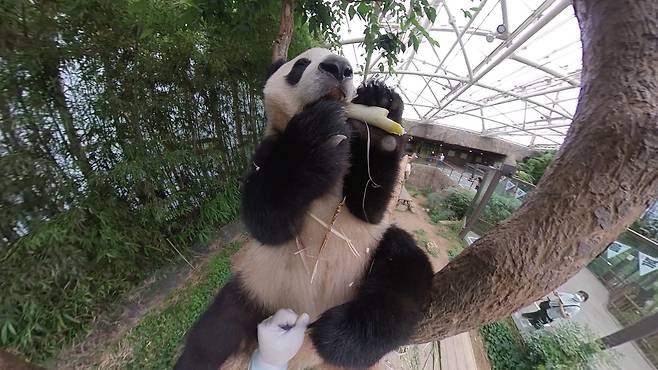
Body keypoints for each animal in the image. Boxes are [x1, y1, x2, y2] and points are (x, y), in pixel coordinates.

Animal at [174, 47, 434, 368]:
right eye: (300, 65)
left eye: (349, 68)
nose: (340, 68)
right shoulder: (267, 151)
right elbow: (266, 220)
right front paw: (318, 131)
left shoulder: (361, 185)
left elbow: (369, 207)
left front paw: (378, 104)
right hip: (257, 286)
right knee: (214, 332)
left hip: (371, 257)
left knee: (403, 269)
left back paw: (338, 335)